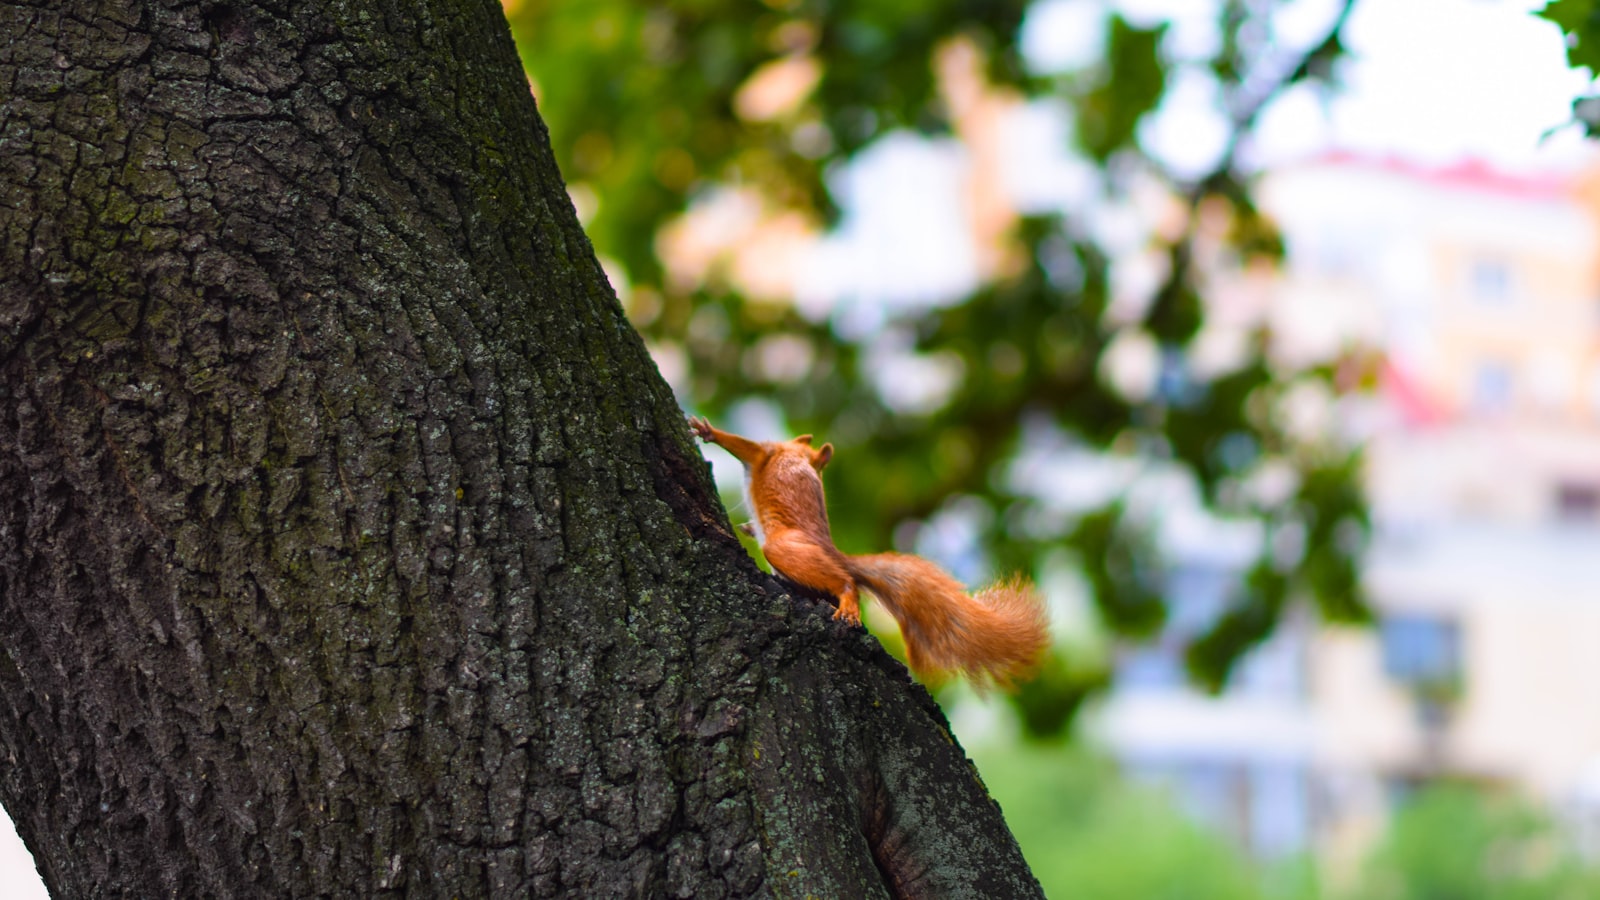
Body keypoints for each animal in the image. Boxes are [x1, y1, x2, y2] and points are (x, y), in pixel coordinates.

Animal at [688, 416, 1049, 685]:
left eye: (806, 442)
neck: (798, 454)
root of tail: (834, 552)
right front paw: (748, 526)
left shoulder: (766, 453)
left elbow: (744, 446)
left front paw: (707, 431)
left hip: (785, 548)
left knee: (846, 582)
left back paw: (848, 601)